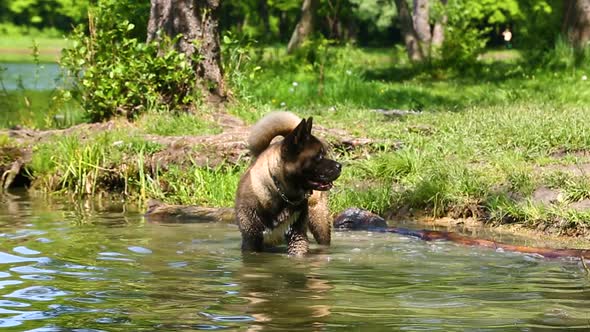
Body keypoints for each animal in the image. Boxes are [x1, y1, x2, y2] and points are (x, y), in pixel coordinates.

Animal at [235, 112, 342, 256]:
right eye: (319, 156)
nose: (339, 166)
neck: (280, 192)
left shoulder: (297, 236)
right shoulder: (251, 239)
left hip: (319, 221)